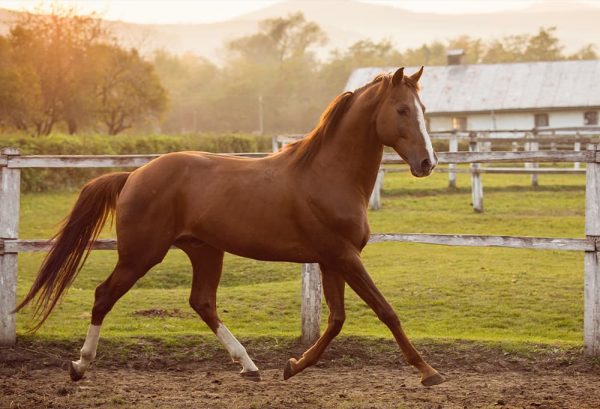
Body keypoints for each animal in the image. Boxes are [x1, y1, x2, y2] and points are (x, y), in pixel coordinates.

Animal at [15, 66, 440, 386]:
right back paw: (79, 365)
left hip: (205, 251)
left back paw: (248, 365)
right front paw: (428, 372)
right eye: (402, 110)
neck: (327, 174)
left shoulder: (331, 259)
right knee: (104, 295)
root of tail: (134, 175)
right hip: (141, 255)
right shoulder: (343, 256)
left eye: (423, 108)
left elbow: (336, 321)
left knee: (202, 302)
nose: (427, 163)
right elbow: (385, 311)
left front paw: (292, 366)